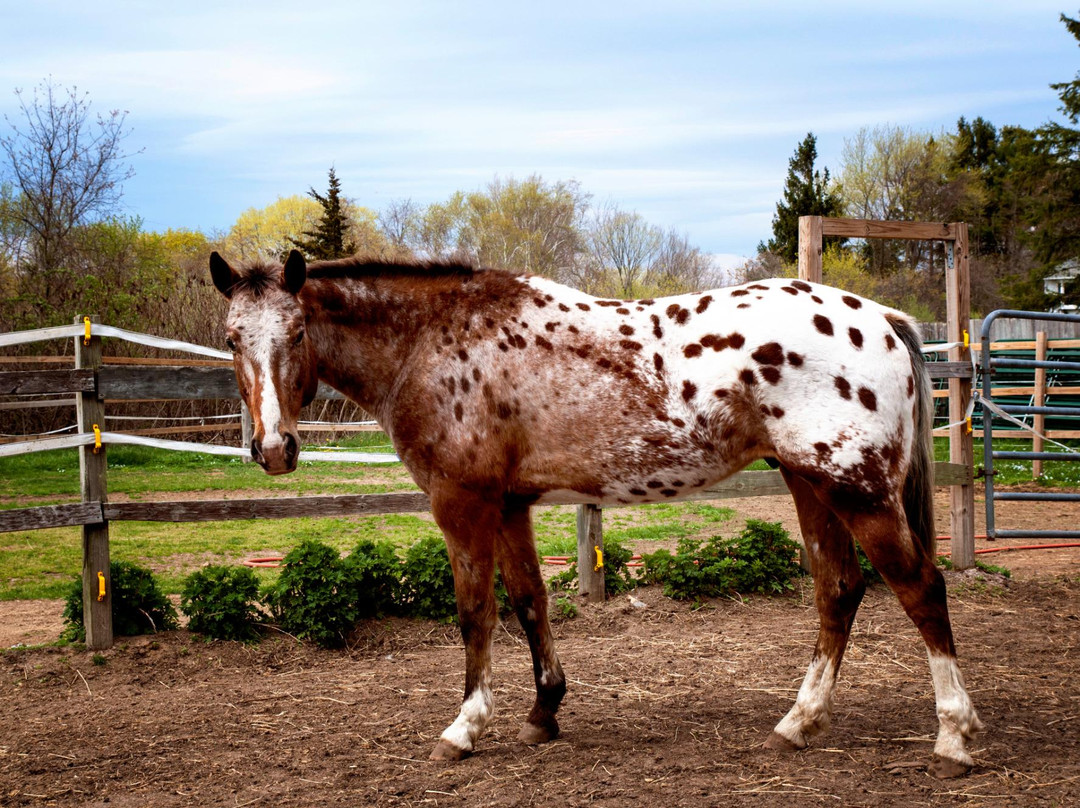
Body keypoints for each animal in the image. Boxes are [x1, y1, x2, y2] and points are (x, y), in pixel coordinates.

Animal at [208, 250, 980, 777]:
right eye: (232, 337)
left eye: (297, 332)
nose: (273, 448)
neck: (432, 341)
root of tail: (880, 317)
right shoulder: (510, 507)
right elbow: (529, 604)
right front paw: (543, 712)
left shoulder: (462, 504)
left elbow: (474, 613)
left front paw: (465, 728)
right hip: (808, 483)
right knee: (838, 591)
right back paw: (799, 722)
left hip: (855, 489)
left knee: (919, 588)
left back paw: (952, 736)